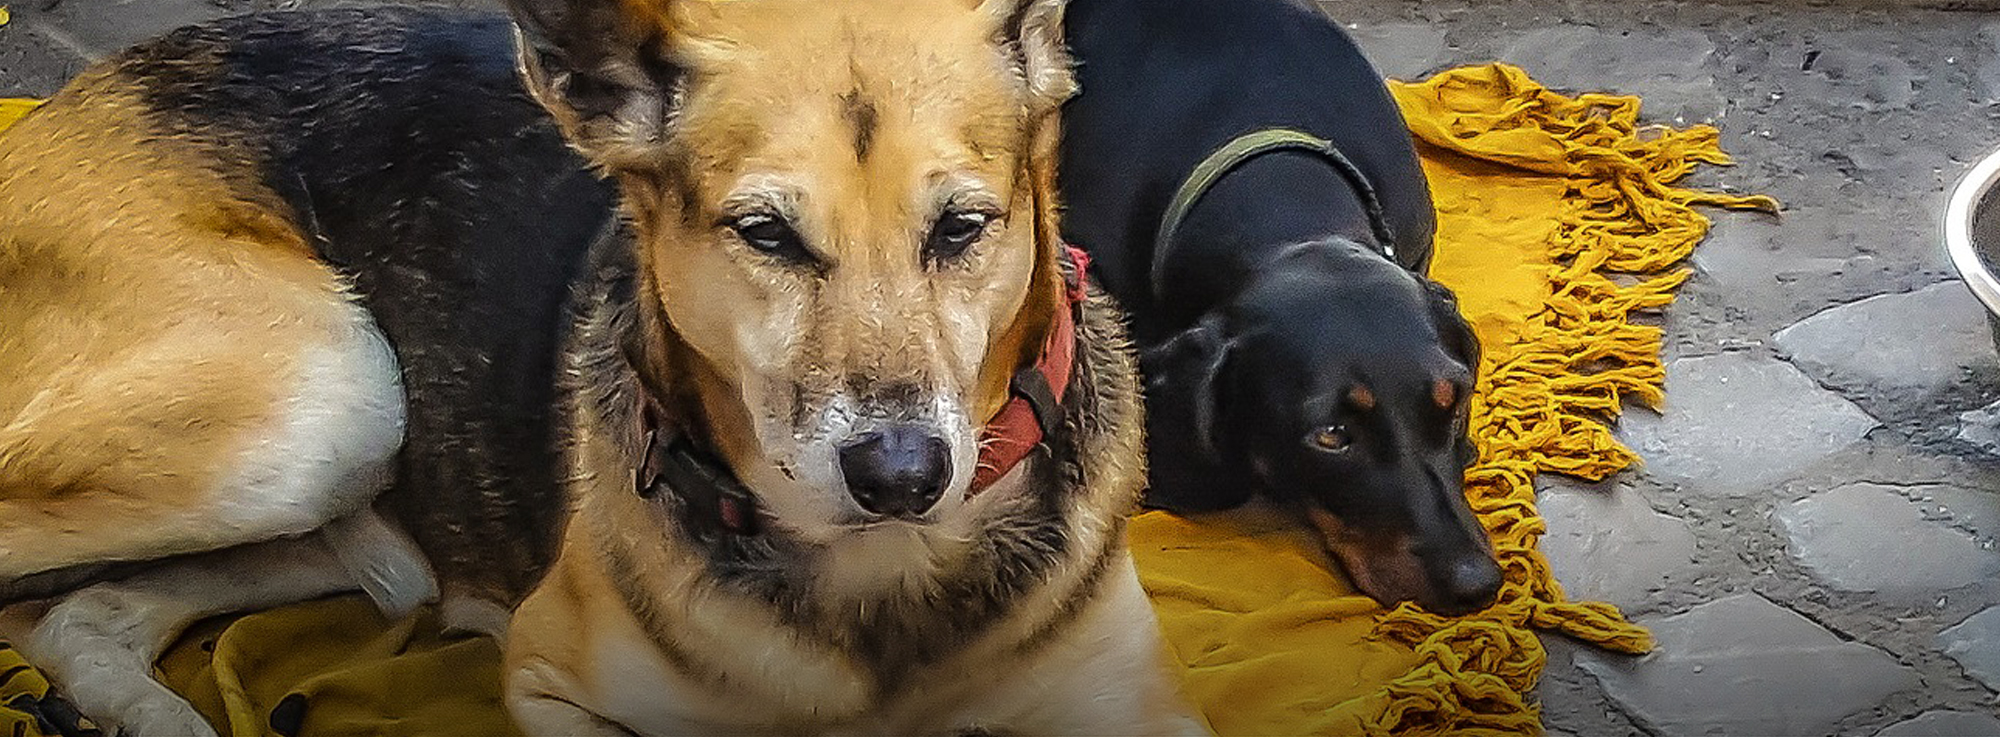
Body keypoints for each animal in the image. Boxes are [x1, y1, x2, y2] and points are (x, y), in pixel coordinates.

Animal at [0, 2, 1205, 735]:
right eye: (764, 233)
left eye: (961, 228)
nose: (901, 476)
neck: (880, 574)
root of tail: (56, 112)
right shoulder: (551, 683)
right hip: (328, 396)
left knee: (80, 614)